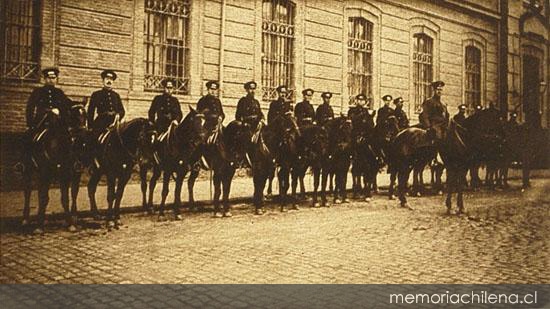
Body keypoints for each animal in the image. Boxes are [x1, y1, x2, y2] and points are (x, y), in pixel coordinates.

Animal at [21, 103, 88, 231]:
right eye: (73, 116)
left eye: (85, 116)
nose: (83, 135)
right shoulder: (45, 173)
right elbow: (43, 197)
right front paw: (39, 225)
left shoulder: (68, 174)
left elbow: (67, 197)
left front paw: (71, 222)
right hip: (28, 171)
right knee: (28, 191)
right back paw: (25, 219)